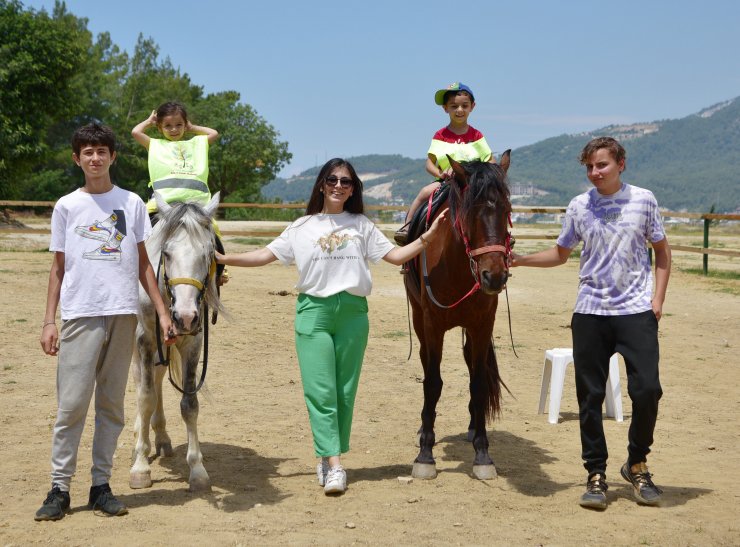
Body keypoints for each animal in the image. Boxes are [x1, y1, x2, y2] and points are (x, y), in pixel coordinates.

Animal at [130, 193, 223, 492]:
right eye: (167, 253)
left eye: (207, 253)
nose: (184, 316)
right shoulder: (145, 338)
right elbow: (145, 397)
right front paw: (140, 466)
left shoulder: (192, 342)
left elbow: (189, 405)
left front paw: (197, 470)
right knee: (141, 381)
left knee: (158, 378)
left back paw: (161, 439)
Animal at [404, 153, 508, 480]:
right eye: (470, 214)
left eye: (507, 211)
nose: (494, 276)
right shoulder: (432, 325)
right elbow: (432, 382)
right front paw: (425, 454)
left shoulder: (482, 325)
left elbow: (479, 382)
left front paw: (483, 453)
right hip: (419, 320)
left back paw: (474, 427)